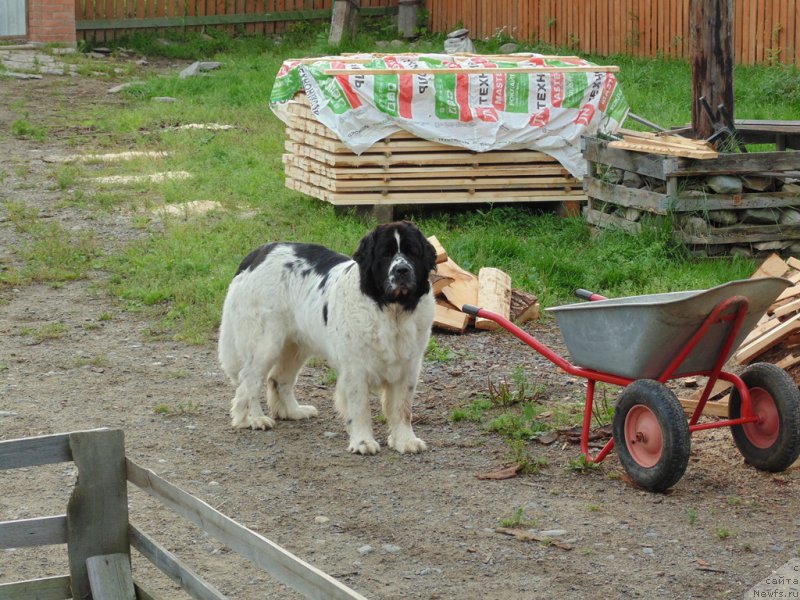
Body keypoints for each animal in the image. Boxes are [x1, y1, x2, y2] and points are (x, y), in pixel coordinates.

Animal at [217, 221, 438, 454]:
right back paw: (253, 419)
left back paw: (294, 411)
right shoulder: (355, 369)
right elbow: (360, 407)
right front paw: (362, 442)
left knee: (278, 379)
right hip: (266, 343)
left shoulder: (408, 367)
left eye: (412, 252)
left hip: (295, 345)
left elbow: (402, 408)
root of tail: (257, 254)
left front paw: (405, 440)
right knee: (249, 378)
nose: (402, 270)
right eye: (385, 254)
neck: (391, 311)